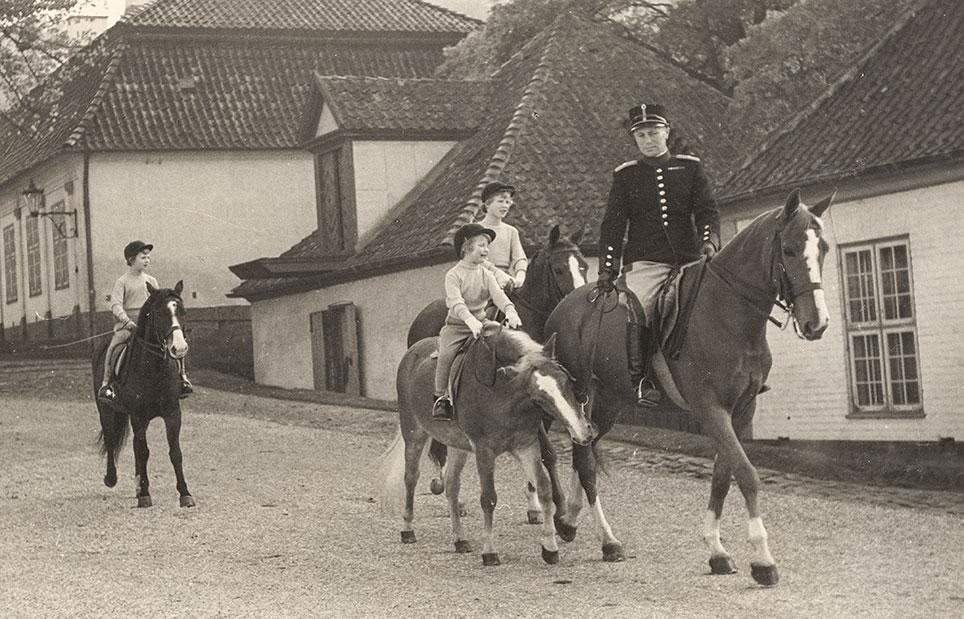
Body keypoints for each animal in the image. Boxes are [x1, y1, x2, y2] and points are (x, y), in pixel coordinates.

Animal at [93, 280, 195, 508]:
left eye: (182, 311)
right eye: (159, 313)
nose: (179, 348)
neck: (154, 368)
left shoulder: (173, 413)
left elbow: (175, 452)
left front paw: (185, 493)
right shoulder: (138, 415)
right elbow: (144, 452)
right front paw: (145, 494)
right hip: (106, 411)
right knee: (112, 441)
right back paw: (112, 479)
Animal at [378, 324, 596, 568]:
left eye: (566, 382)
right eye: (540, 397)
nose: (583, 431)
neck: (502, 394)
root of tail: (413, 351)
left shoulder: (527, 446)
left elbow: (544, 489)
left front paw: (549, 548)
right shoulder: (485, 451)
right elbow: (488, 499)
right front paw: (489, 552)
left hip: (458, 445)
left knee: (452, 486)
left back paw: (460, 539)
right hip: (414, 433)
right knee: (411, 477)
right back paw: (407, 529)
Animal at [548, 189, 832, 588]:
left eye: (822, 249)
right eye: (789, 249)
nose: (817, 324)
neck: (729, 313)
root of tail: (567, 304)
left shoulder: (741, 411)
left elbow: (722, 477)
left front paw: (717, 551)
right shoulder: (711, 409)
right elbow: (747, 474)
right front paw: (762, 560)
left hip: (609, 403)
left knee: (583, 452)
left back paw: (570, 521)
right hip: (581, 396)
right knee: (585, 462)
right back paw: (607, 540)